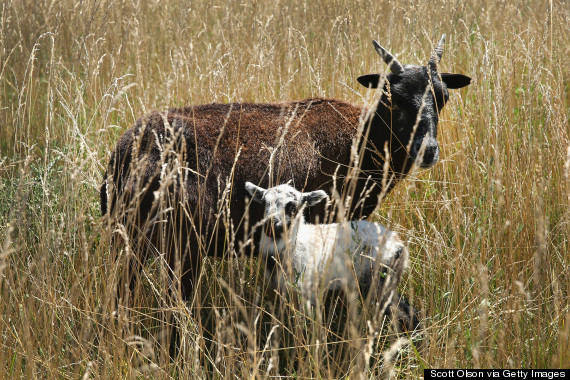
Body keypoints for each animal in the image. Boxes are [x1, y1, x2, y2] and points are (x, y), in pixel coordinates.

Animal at [100, 35, 468, 300]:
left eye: (442, 97)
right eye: (392, 97)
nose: (427, 150)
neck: (362, 140)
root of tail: (126, 148)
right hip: (170, 239)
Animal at [244, 182, 418, 332]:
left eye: (292, 206)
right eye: (264, 203)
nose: (270, 226)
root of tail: (399, 245)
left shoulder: (305, 289)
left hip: (380, 276)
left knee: (405, 313)